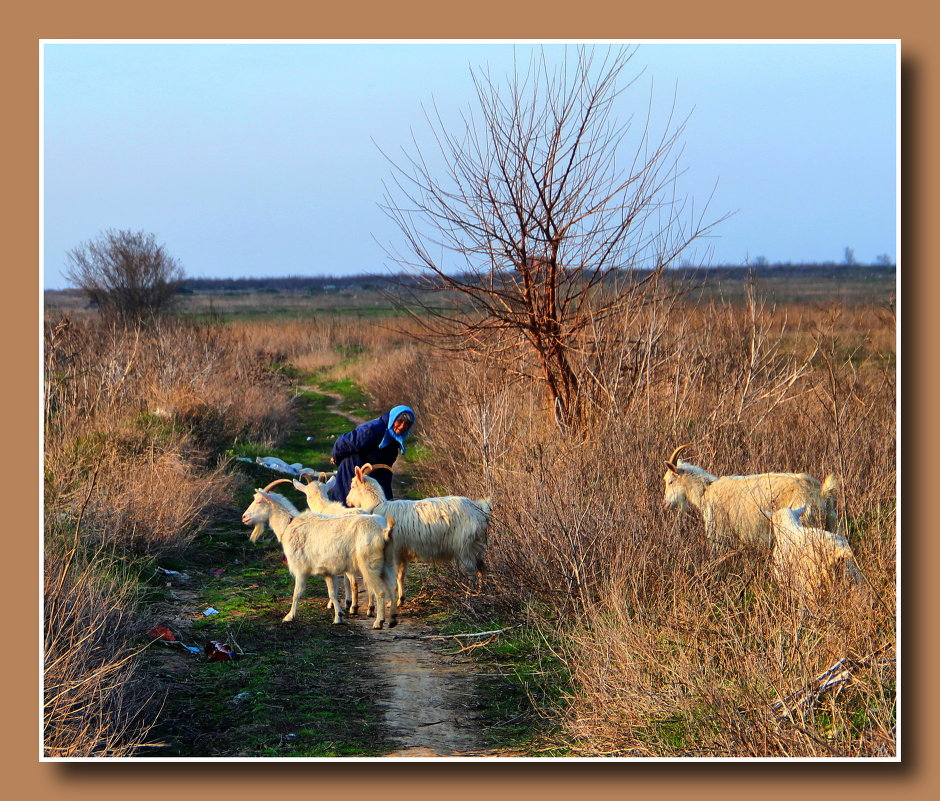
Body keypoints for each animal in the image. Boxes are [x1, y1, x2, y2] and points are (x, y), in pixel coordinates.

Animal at [241, 478, 398, 628]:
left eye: (259, 501)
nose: (244, 517)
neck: (289, 525)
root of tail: (384, 531)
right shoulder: (327, 571)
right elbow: (333, 593)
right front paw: (338, 617)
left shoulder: (300, 568)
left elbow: (297, 592)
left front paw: (289, 616)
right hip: (387, 564)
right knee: (392, 588)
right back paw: (392, 620)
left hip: (370, 565)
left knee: (380, 592)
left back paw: (378, 622)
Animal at [346, 462, 492, 608]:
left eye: (352, 486)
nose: (347, 501)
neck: (377, 507)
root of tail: (479, 509)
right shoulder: (402, 553)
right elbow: (401, 576)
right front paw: (401, 599)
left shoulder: (394, 552)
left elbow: (394, 578)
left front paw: (391, 603)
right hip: (478, 545)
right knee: (482, 568)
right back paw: (482, 592)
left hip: (465, 547)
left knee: (471, 572)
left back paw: (470, 597)